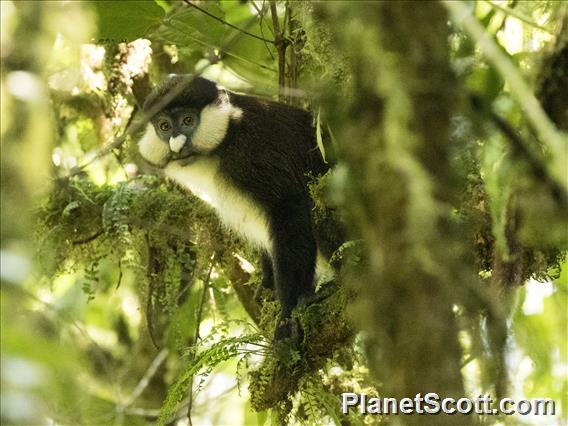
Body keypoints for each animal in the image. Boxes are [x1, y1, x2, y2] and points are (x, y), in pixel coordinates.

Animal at [139, 75, 332, 342]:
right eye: (164, 126)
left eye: (188, 120)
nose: (176, 147)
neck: (228, 135)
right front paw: (268, 285)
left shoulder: (253, 155)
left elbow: (290, 205)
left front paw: (289, 313)